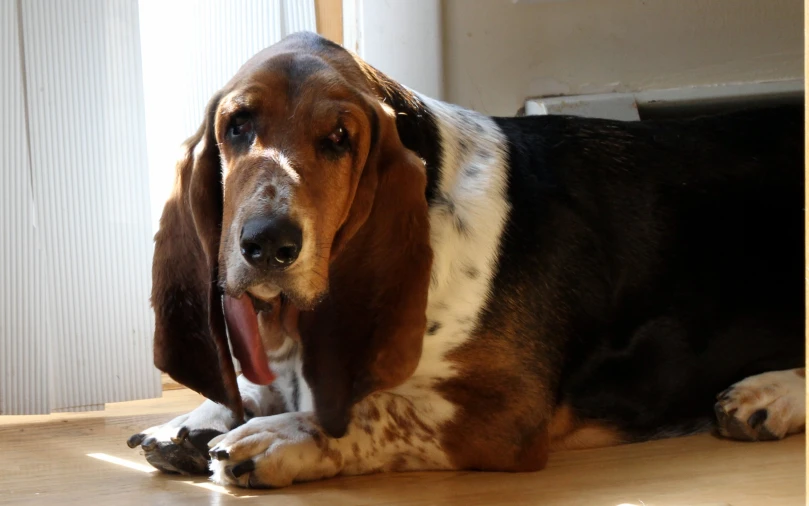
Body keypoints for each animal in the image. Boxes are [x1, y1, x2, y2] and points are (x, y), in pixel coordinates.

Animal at [126, 30, 800, 486]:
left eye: (339, 139)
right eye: (237, 125)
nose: (268, 243)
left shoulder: (501, 416)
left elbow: (374, 412)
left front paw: (273, 438)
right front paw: (197, 419)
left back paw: (769, 396)